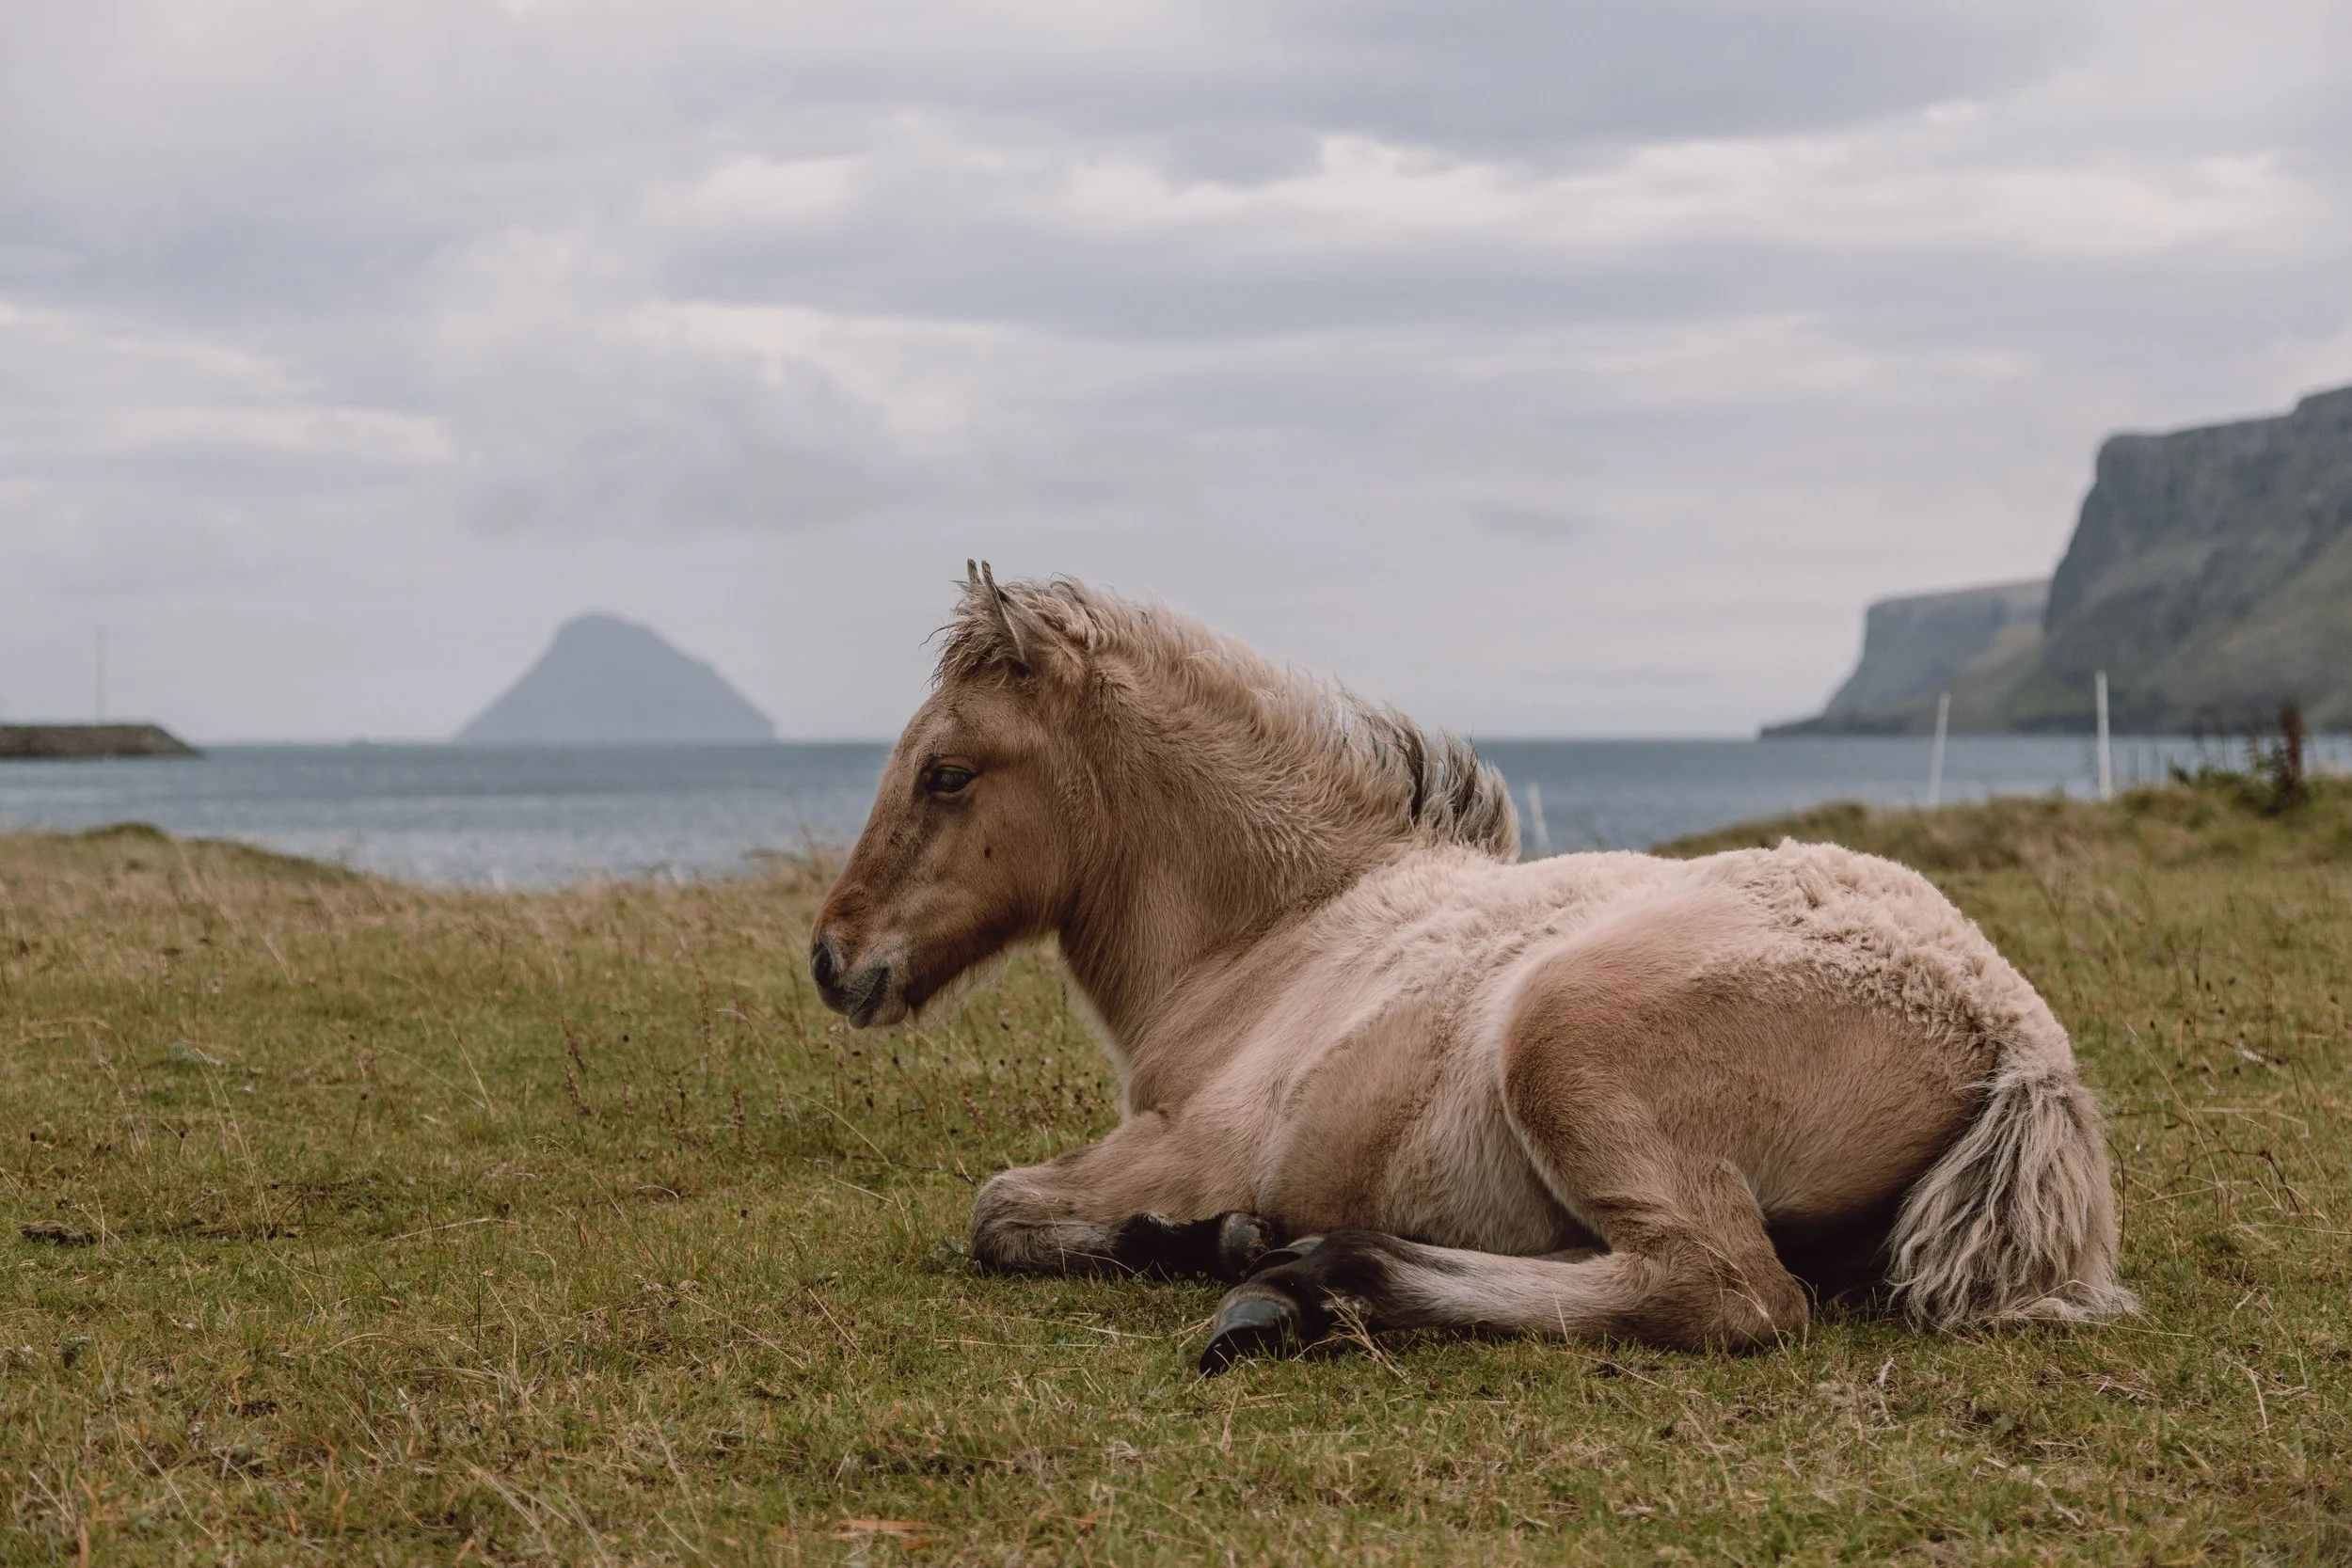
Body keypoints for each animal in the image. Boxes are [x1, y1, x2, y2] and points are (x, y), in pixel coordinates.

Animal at [810, 564, 2133, 1371]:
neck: (1278, 937)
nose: (834, 958)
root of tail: (2011, 1029)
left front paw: (1207, 1242)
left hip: (1562, 1041)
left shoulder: (1191, 1145)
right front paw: (1224, 1241)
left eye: (946, 771)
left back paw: (1315, 1281)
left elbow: (998, 1208)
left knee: (1725, 1291)